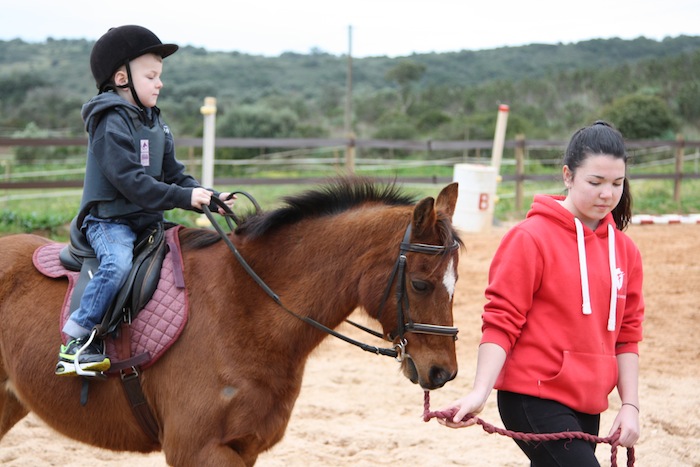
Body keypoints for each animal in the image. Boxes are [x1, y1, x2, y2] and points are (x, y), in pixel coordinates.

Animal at [0, 178, 463, 466]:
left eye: (454, 282)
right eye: (420, 284)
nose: (443, 372)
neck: (245, 307)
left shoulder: (244, 447)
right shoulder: (198, 451)